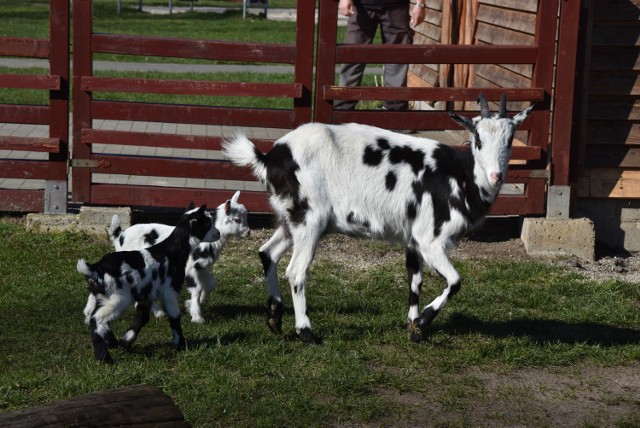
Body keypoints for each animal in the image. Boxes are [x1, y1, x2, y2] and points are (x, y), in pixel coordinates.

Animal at [77, 204, 218, 362]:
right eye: (208, 223)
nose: (218, 233)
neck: (172, 250)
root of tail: (95, 269)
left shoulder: (146, 294)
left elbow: (142, 318)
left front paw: (126, 342)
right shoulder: (169, 290)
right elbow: (175, 316)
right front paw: (180, 344)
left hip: (102, 296)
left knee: (92, 316)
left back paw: (112, 342)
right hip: (118, 298)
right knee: (97, 320)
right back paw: (104, 357)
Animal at [224, 93, 536, 344]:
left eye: (510, 140)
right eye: (478, 140)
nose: (496, 176)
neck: (460, 177)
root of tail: (271, 157)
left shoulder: (414, 239)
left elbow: (414, 279)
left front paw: (414, 327)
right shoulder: (430, 239)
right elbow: (455, 280)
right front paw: (423, 322)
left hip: (291, 219)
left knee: (267, 253)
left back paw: (275, 319)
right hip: (310, 219)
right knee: (296, 271)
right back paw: (306, 332)